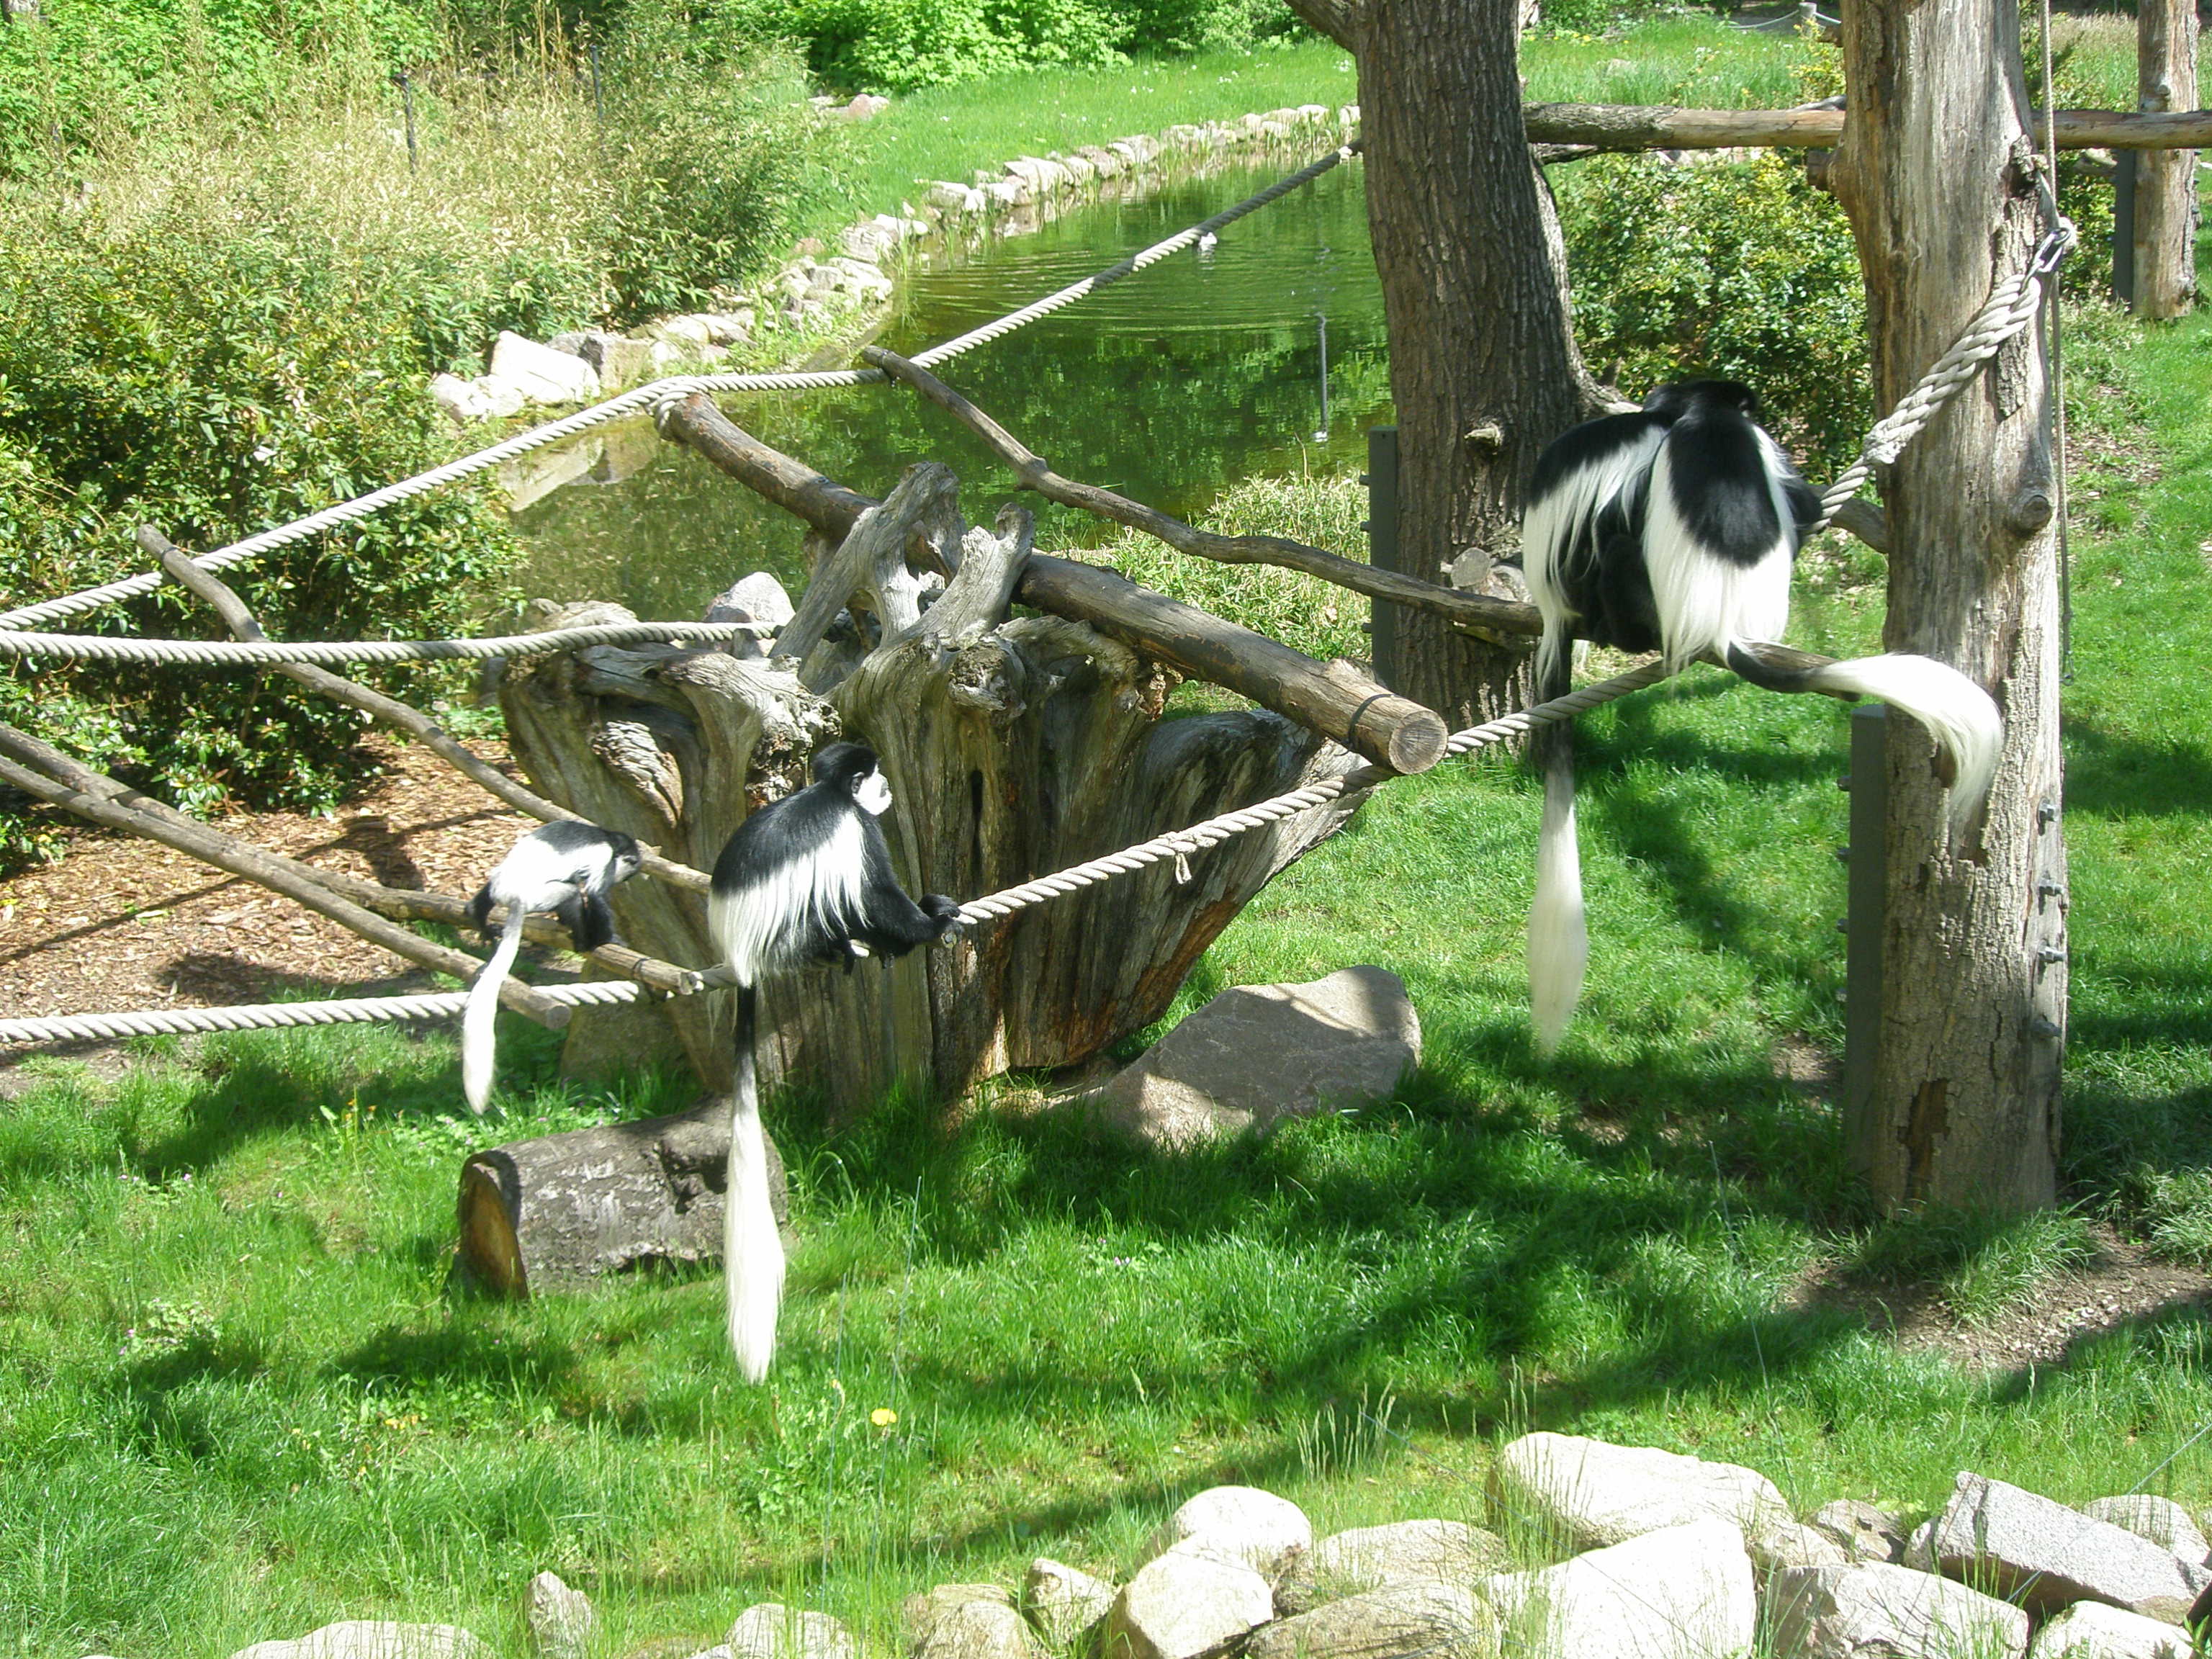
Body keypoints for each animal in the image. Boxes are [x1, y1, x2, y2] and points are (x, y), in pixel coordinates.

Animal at [459, 822, 641, 1110]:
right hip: (540, 896)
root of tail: (514, 894)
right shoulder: (604, 858)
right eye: (628, 871)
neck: (607, 837)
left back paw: (477, 914)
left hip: (500, 879)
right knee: (572, 894)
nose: (624, 881)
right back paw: (583, 941)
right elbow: (595, 895)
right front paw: (608, 939)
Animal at [703, 747, 956, 1380]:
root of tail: (742, 958)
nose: (885, 790)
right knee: (847, 909)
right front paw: (931, 921)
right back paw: (865, 946)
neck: (831, 794)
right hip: (796, 928)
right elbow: (879, 893)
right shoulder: (859, 831)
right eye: (876, 779)